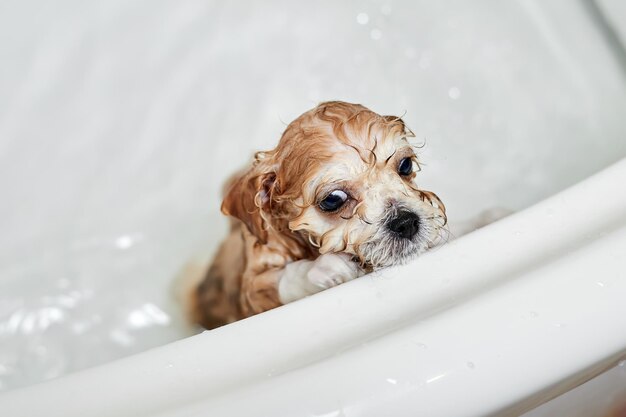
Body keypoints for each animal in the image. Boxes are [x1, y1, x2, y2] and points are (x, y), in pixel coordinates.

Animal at [189, 101, 444, 328]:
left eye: (405, 165)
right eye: (333, 200)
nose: (406, 222)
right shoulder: (251, 291)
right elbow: (285, 278)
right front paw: (329, 268)